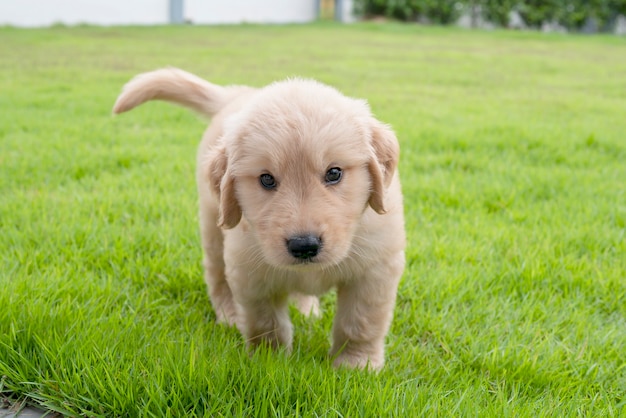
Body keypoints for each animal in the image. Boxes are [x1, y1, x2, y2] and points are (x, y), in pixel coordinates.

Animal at [112, 68, 404, 370]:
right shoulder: (250, 272)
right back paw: (230, 314)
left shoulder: (374, 270)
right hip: (214, 225)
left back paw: (305, 308)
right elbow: (267, 324)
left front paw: (356, 365)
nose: (304, 246)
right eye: (266, 179)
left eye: (334, 173)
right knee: (217, 275)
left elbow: (359, 322)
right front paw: (269, 363)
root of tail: (239, 94)